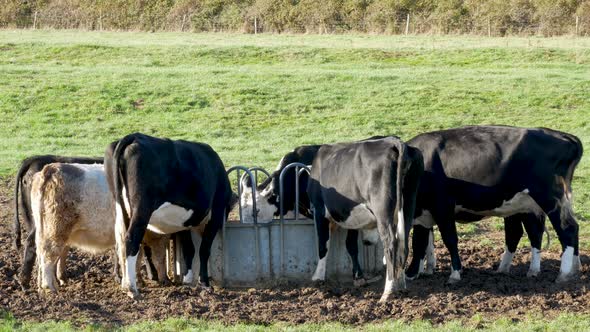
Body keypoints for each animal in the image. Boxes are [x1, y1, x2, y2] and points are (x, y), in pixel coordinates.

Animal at [30, 162, 171, 292]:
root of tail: (51, 168)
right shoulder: (155, 236)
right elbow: (158, 257)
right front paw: (165, 280)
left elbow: (138, 257)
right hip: (56, 230)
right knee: (48, 255)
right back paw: (50, 288)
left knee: (42, 255)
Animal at [105, 132, 235, 298]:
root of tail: (135, 136)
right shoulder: (216, 214)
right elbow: (204, 250)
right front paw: (204, 283)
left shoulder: (185, 222)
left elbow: (189, 248)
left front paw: (187, 280)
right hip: (141, 208)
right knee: (131, 239)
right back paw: (132, 288)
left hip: (122, 209)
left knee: (121, 243)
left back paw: (125, 284)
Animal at [404, 126, 584, 284]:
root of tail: (560, 135)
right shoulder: (424, 212)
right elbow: (421, 241)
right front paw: (418, 271)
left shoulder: (443, 207)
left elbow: (448, 240)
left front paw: (453, 274)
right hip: (526, 205)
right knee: (525, 233)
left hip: (550, 199)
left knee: (567, 228)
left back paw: (564, 274)